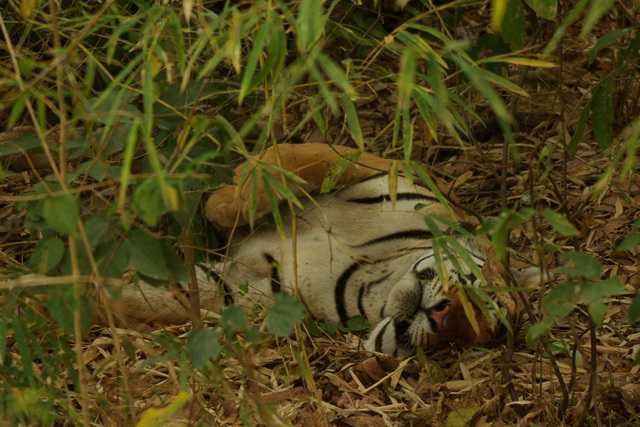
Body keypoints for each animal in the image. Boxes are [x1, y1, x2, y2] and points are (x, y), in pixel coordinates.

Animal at [108, 143, 547, 357]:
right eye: (482, 296)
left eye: (461, 342)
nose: (442, 318)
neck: (376, 275)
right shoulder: (376, 169)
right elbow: (291, 158)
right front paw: (223, 205)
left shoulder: (259, 283)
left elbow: (185, 294)